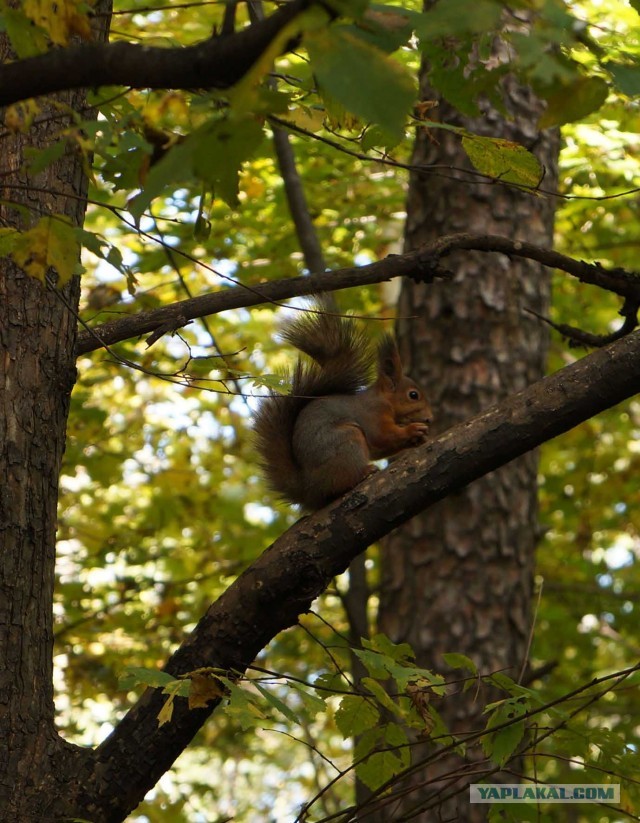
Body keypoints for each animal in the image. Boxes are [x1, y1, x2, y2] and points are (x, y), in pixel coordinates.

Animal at [252, 296, 432, 508]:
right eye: (413, 395)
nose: (429, 419)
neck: (383, 400)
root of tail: (310, 489)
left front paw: (418, 438)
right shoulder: (372, 414)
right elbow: (382, 436)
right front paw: (413, 430)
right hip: (347, 441)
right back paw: (363, 473)